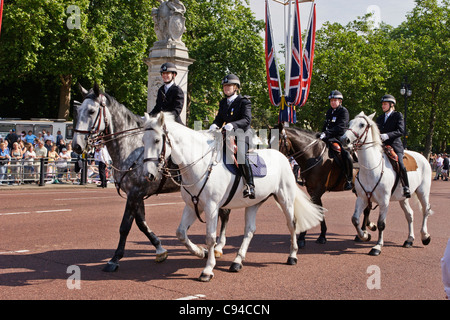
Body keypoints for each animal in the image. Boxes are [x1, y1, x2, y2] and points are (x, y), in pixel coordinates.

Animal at [142, 113, 324, 282]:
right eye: (143, 141)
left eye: (157, 140)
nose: (148, 175)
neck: (199, 165)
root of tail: (282, 155)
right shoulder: (192, 206)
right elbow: (180, 233)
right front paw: (200, 252)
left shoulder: (211, 207)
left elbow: (210, 238)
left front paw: (208, 269)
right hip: (253, 203)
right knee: (249, 230)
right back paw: (237, 261)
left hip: (285, 200)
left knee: (291, 224)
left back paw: (292, 256)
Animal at [342, 111, 432, 256]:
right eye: (349, 123)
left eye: (362, 125)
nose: (345, 139)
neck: (371, 168)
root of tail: (423, 157)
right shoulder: (362, 198)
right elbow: (355, 219)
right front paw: (365, 235)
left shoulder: (384, 201)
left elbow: (381, 224)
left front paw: (377, 246)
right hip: (403, 198)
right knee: (410, 215)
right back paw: (409, 240)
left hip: (423, 192)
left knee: (425, 210)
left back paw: (425, 236)